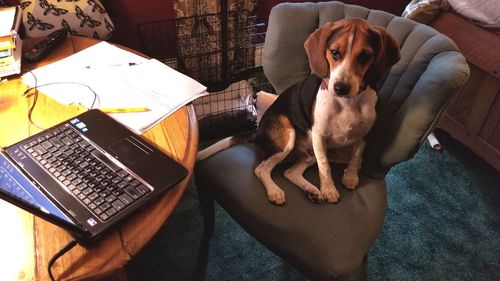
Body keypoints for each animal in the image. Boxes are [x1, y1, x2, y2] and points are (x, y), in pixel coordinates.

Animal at [197, 19, 400, 203]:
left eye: (364, 56)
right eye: (335, 53)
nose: (340, 88)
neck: (347, 102)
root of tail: (259, 130)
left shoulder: (364, 135)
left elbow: (356, 157)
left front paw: (350, 177)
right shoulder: (319, 135)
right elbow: (325, 167)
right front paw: (329, 190)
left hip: (309, 154)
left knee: (290, 172)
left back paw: (311, 190)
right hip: (288, 137)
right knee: (261, 169)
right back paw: (275, 191)